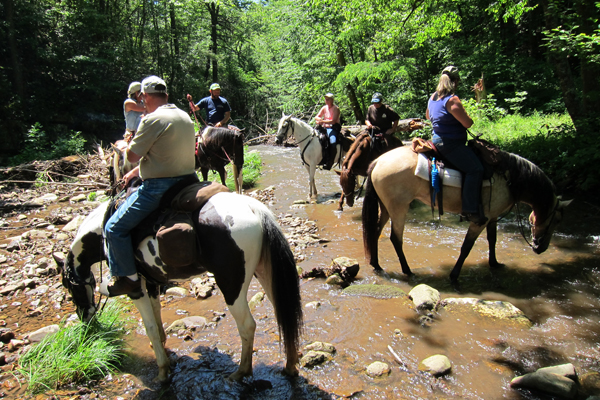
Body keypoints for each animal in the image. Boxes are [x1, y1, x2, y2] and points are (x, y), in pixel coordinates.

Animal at [56, 194, 302, 384]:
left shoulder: (136, 289)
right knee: (284, 312)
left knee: (247, 326)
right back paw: (290, 366)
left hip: (232, 285)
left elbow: (150, 327)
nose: (85, 320)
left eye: (68, 287)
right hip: (265, 273)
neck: (103, 231)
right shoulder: (152, 283)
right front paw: (164, 349)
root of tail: (254, 209)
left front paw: (162, 372)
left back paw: (241, 372)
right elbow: (157, 319)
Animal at [360, 146, 572, 282]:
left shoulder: (492, 217)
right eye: (557, 219)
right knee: (396, 238)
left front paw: (494, 263)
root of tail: (378, 161)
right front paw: (454, 276)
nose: (540, 248)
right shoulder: (480, 221)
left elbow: (492, 239)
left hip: (386, 207)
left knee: (375, 232)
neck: (509, 178)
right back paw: (407, 270)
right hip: (399, 208)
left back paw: (376, 264)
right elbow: (467, 247)